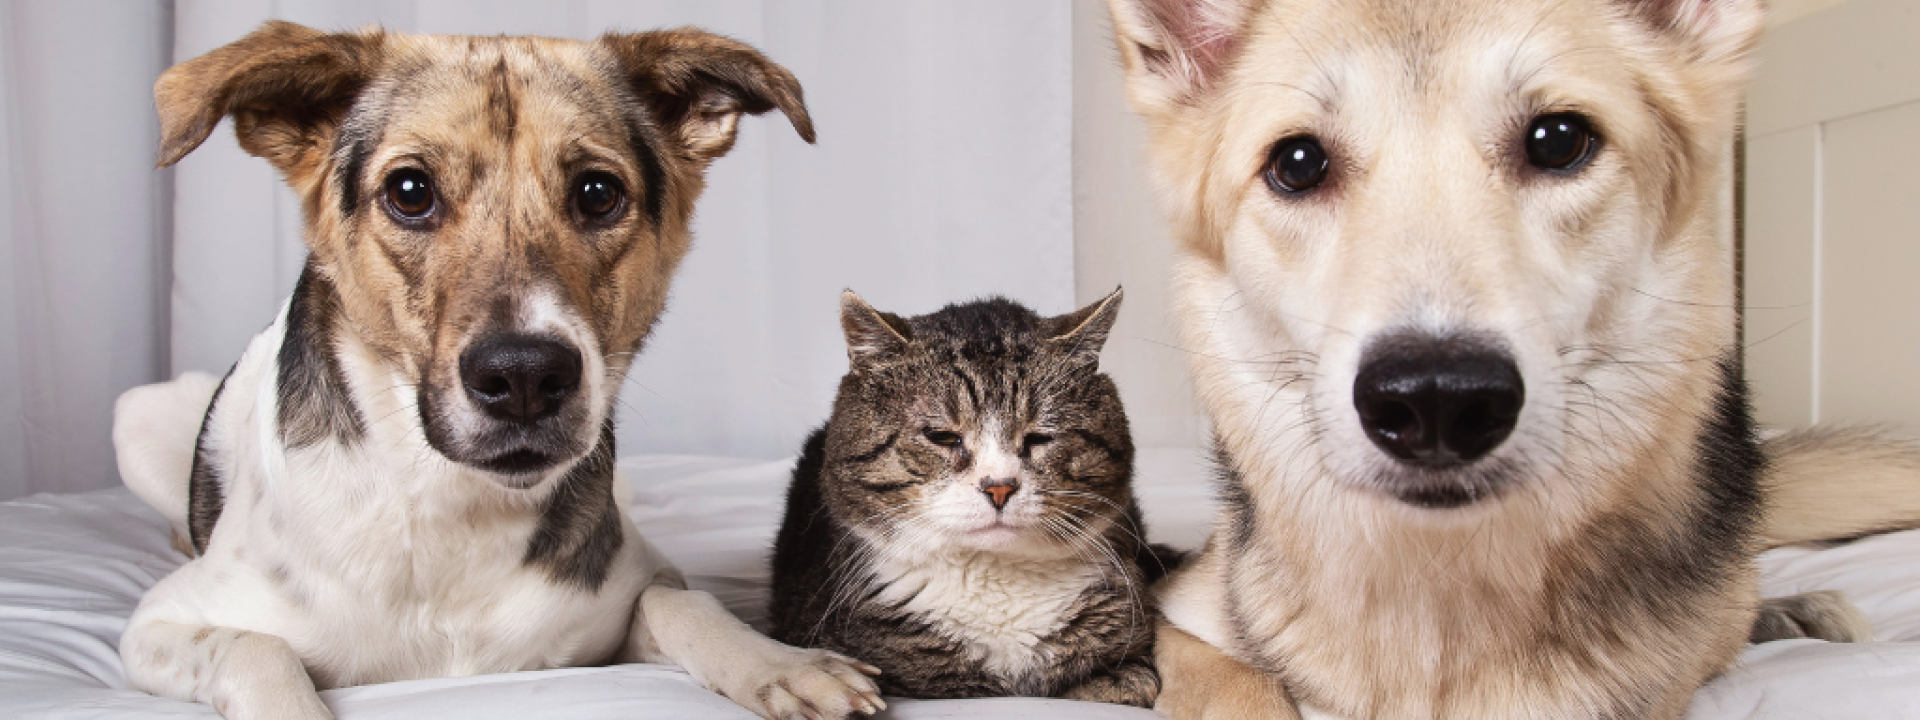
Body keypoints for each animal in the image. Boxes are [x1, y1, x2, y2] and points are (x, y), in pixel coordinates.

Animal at [110, 21, 879, 720]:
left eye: (598, 193)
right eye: (410, 190)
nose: (525, 378)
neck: (453, 503)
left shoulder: (625, 594)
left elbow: (686, 603)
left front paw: (779, 664)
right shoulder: (159, 624)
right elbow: (256, 650)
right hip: (136, 420)